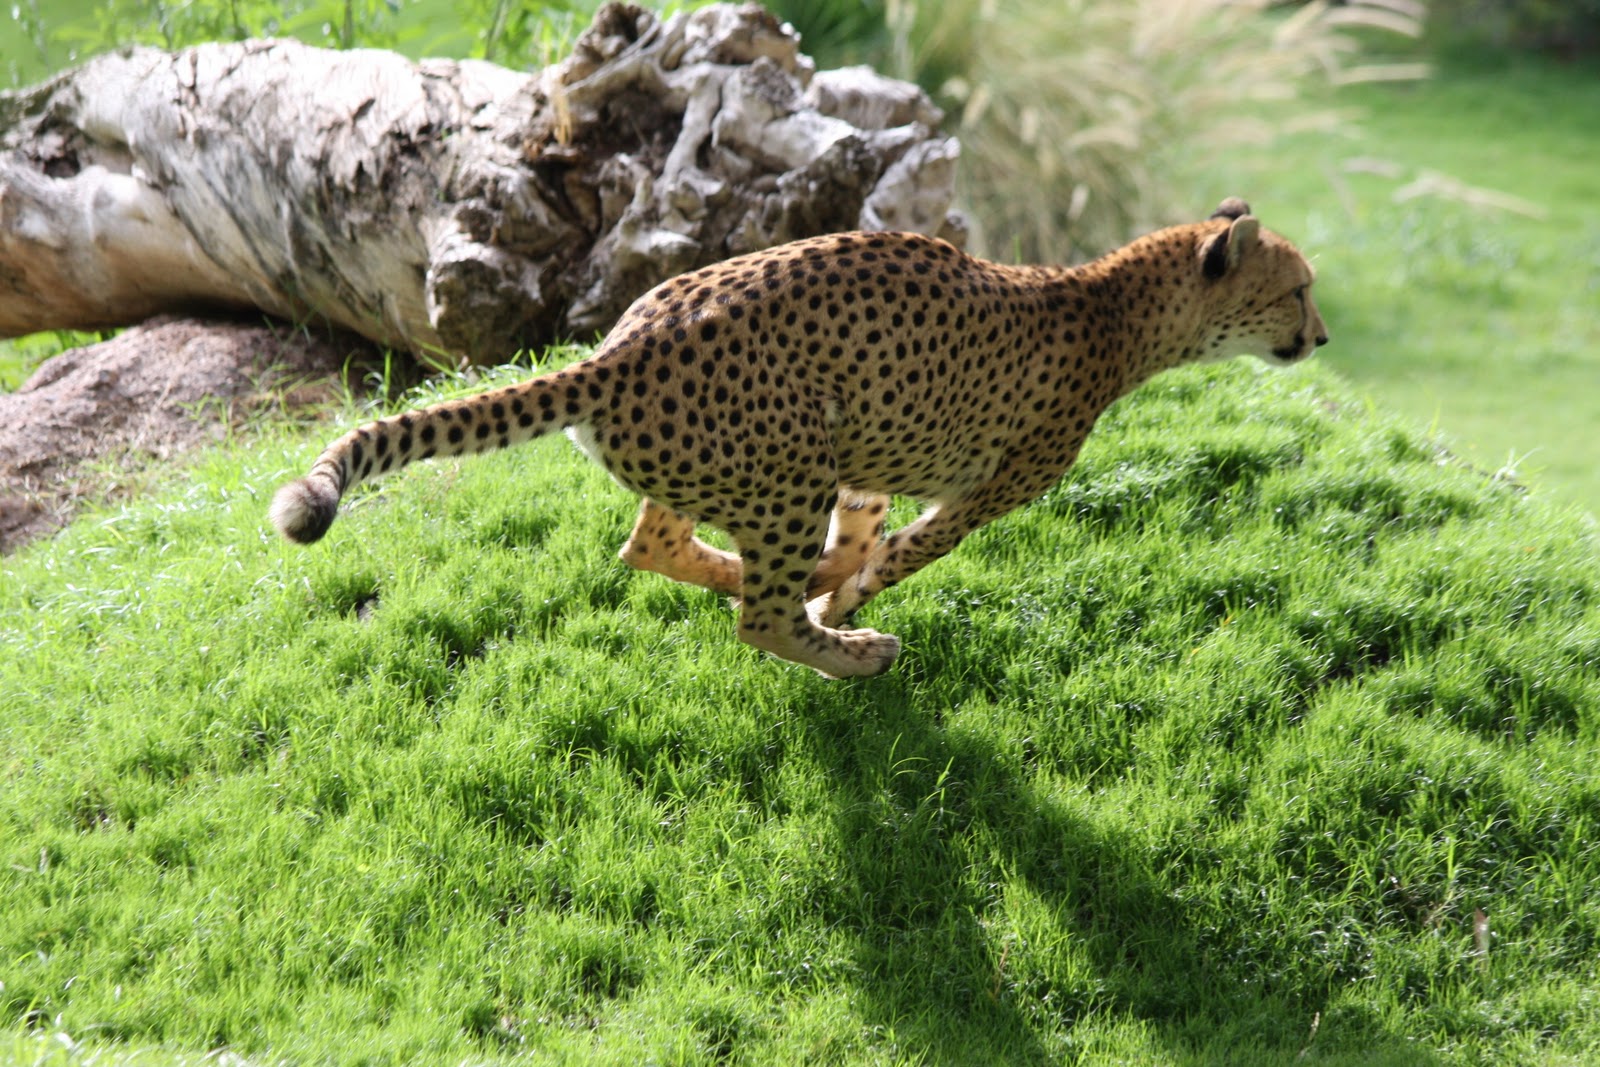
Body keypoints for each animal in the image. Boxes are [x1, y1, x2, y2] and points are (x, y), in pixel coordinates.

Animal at [271, 197, 1326, 678]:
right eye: (1299, 289)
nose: (1319, 337)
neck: (1113, 309)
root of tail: (621, 344)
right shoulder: (980, 493)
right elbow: (901, 556)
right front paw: (849, 600)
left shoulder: (869, 455)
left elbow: (867, 532)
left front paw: (840, 576)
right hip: (785, 472)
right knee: (758, 617)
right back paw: (851, 648)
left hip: (761, 463)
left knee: (652, 543)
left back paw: (779, 583)